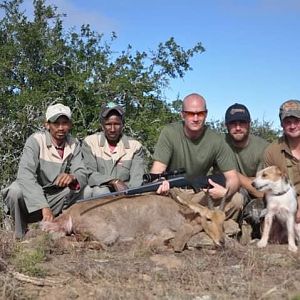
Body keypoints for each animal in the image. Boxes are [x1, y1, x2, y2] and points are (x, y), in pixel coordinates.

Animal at [41, 190, 226, 251]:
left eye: (223, 220)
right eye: (208, 218)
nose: (221, 241)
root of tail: (71, 212)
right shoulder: (160, 232)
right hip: (109, 234)